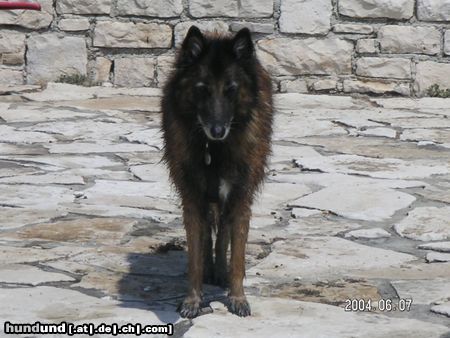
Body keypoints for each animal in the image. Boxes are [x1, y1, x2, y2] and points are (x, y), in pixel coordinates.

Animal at [162, 25, 274, 316]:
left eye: (231, 89)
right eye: (202, 89)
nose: (217, 130)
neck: (214, 149)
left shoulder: (240, 197)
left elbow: (237, 257)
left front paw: (237, 297)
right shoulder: (192, 198)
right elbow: (195, 256)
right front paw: (193, 299)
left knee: (222, 231)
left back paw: (219, 271)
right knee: (206, 237)